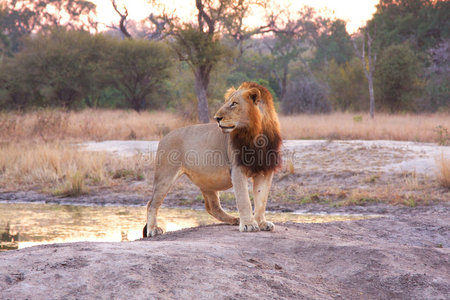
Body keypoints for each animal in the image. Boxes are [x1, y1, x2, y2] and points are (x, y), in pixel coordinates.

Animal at [144, 81, 282, 237]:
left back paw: (234, 219)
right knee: (151, 203)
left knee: (212, 207)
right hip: (165, 176)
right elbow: (244, 199)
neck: (256, 134)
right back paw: (153, 229)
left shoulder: (265, 170)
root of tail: (164, 137)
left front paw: (262, 223)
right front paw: (248, 225)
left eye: (234, 104)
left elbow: (261, 199)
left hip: (207, 180)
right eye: (226, 103)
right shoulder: (237, 169)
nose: (217, 118)